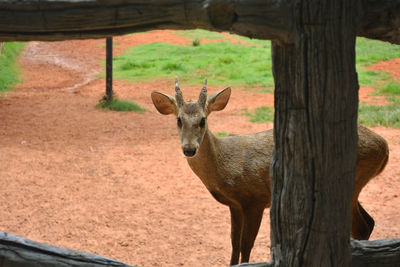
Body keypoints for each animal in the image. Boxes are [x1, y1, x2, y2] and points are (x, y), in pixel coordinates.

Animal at [150, 79, 388, 266]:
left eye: (202, 120)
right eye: (179, 120)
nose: (189, 149)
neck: (224, 168)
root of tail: (384, 147)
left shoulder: (254, 200)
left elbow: (246, 244)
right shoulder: (235, 205)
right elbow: (234, 243)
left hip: (353, 179)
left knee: (361, 226)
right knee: (368, 222)